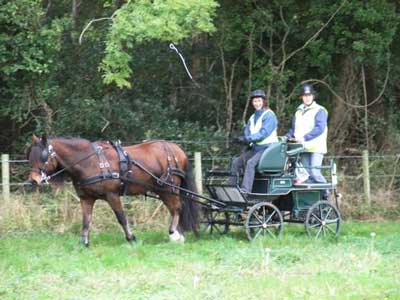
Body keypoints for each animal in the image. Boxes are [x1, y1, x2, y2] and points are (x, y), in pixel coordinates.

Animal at [25, 135, 199, 245]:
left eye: (43, 156)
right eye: (30, 157)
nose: (33, 181)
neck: (90, 161)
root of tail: (176, 148)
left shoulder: (112, 195)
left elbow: (121, 217)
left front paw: (131, 238)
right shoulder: (86, 198)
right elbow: (86, 220)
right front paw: (84, 243)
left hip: (170, 187)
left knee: (177, 208)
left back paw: (174, 233)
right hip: (162, 189)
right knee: (175, 209)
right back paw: (179, 233)